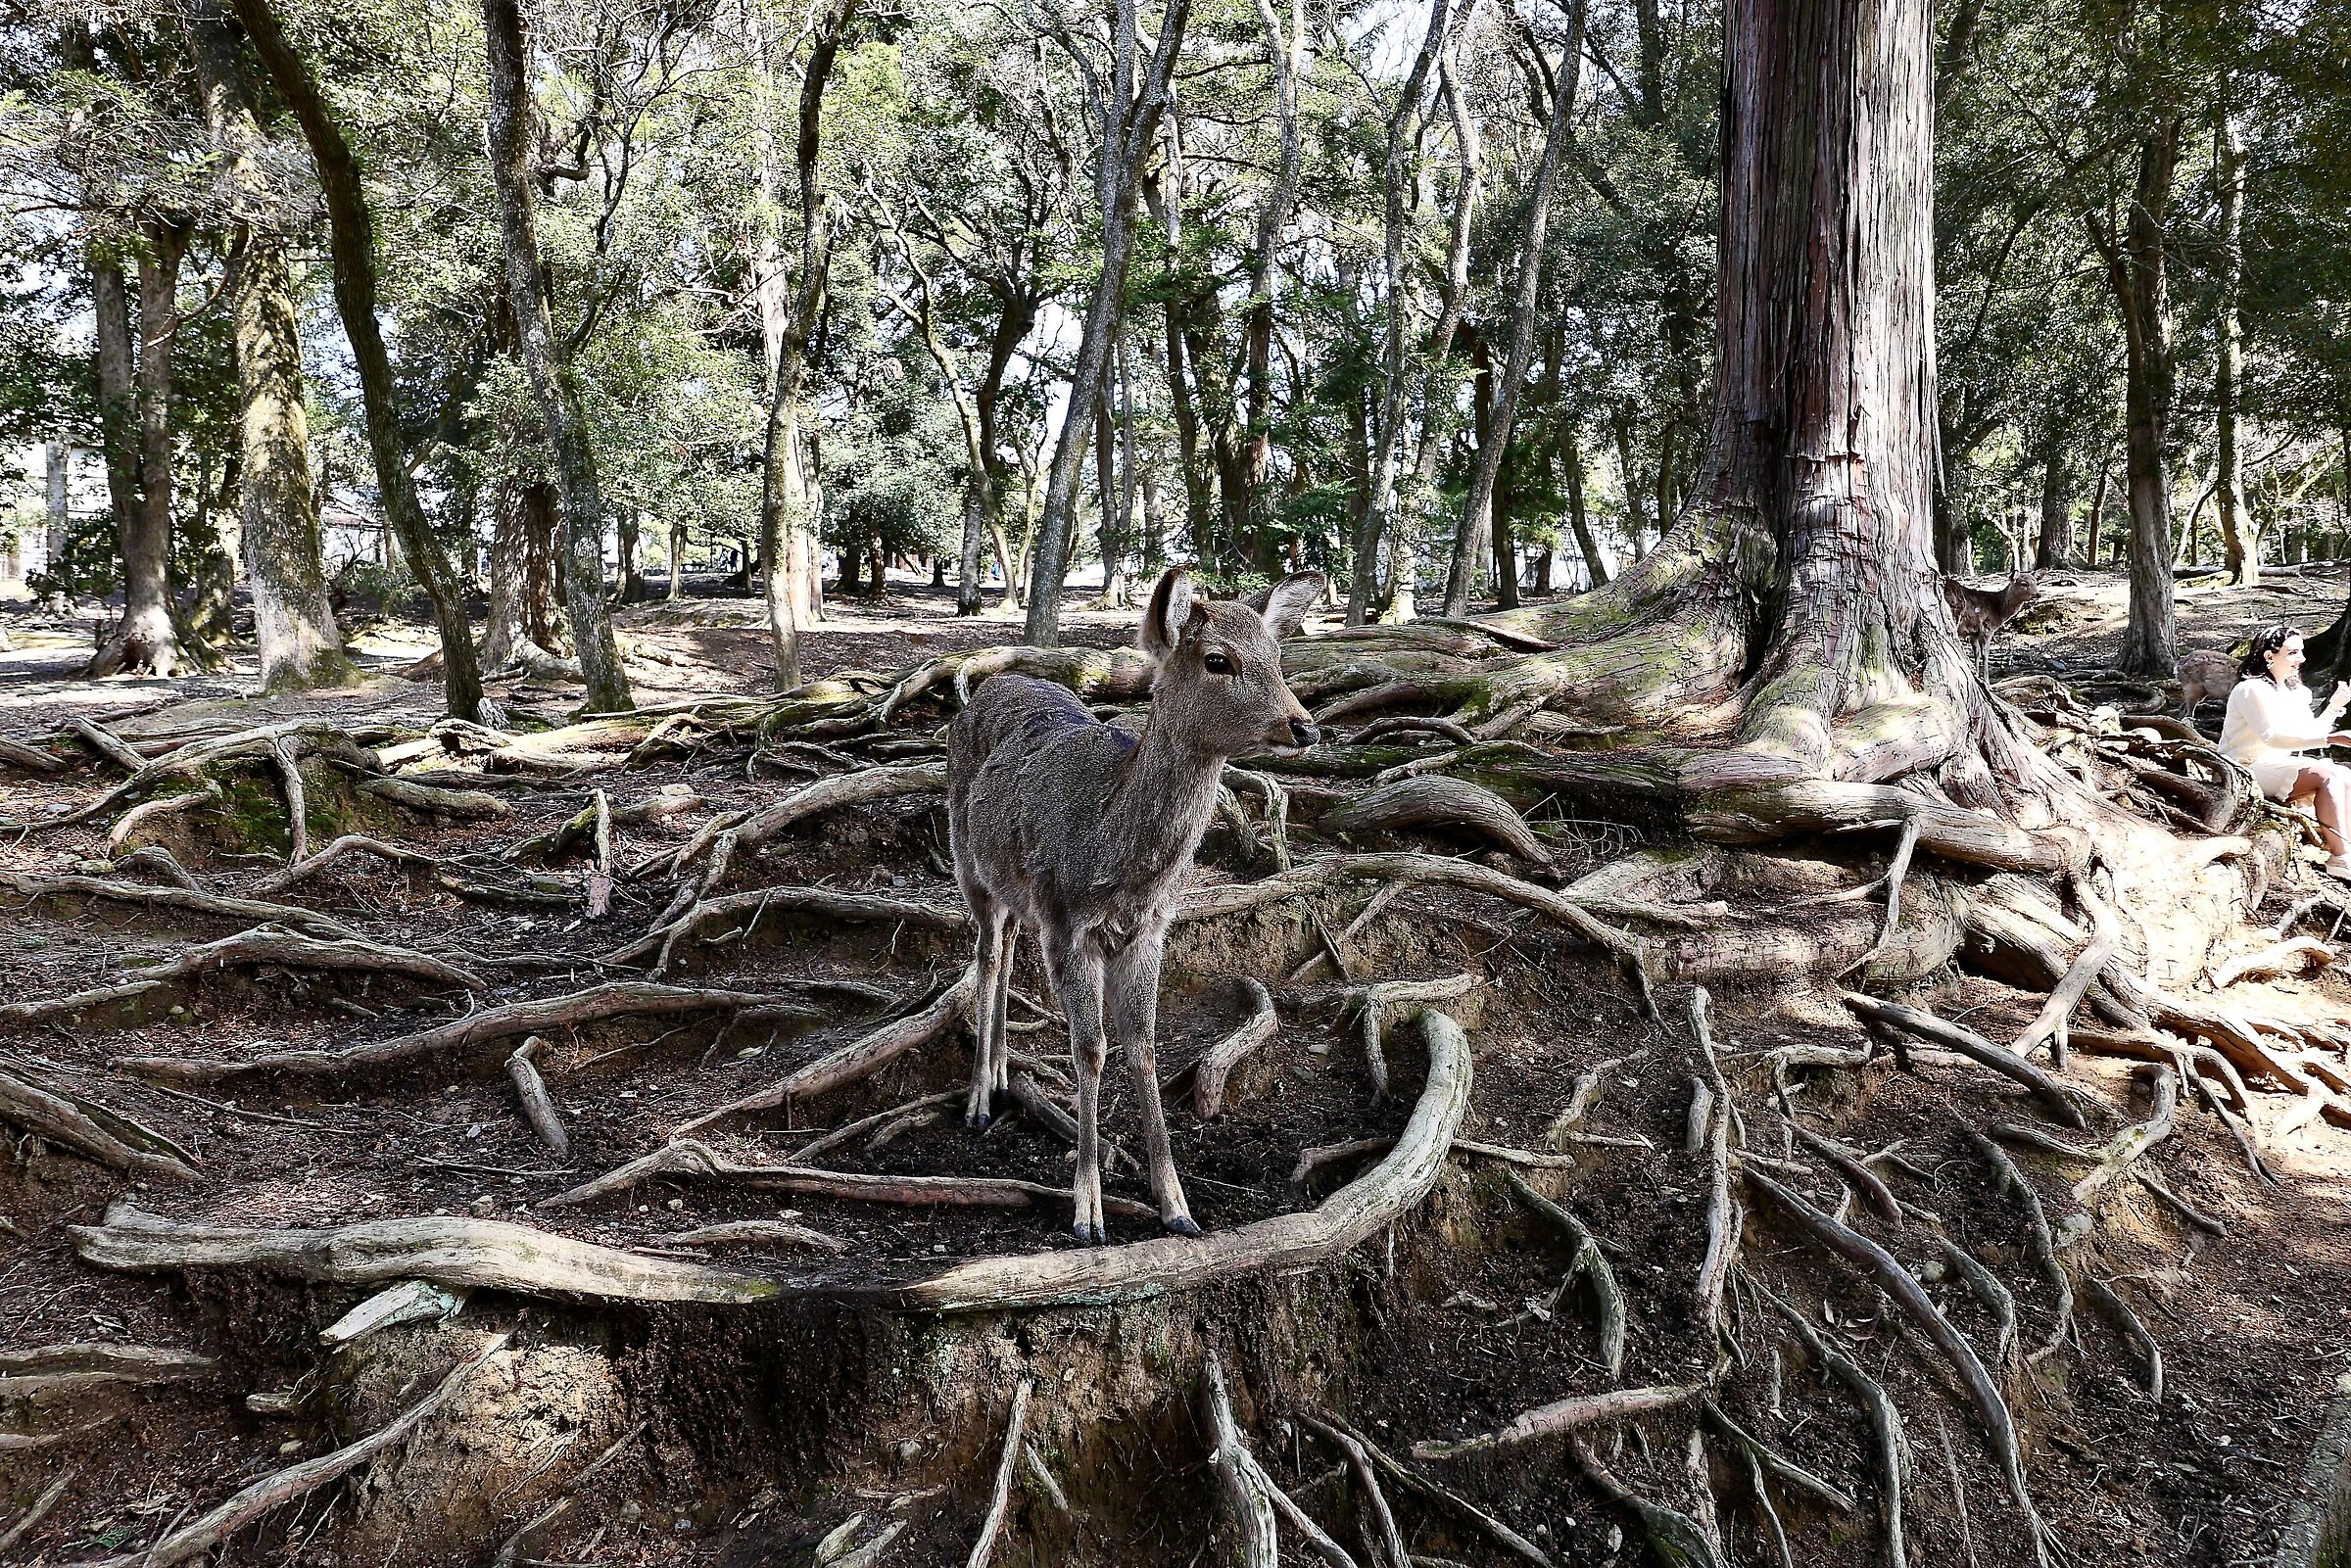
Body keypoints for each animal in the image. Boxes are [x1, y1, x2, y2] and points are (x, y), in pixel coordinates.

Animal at [948, 567, 1325, 1243]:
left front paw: (1176, 1202)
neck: (1120, 861)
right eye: (1218, 659)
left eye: (1278, 655)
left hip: (1016, 893)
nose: (1304, 725)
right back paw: (978, 1101)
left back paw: (1002, 1075)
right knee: (988, 957)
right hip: (969, 866)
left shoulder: (1149, 931)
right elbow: (1092, 1049)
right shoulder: (1067, 923)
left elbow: (1144, 1044)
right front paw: (1087, 1212)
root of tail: (989, 683)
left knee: (1007, 951)